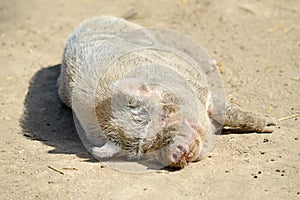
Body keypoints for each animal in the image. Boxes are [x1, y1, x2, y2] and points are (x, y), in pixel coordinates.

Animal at [56, 16, 276, 170]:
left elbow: (229, 113)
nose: (174, 154)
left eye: (162, 117)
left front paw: (271, 125)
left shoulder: (200, 90)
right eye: (146, 148)